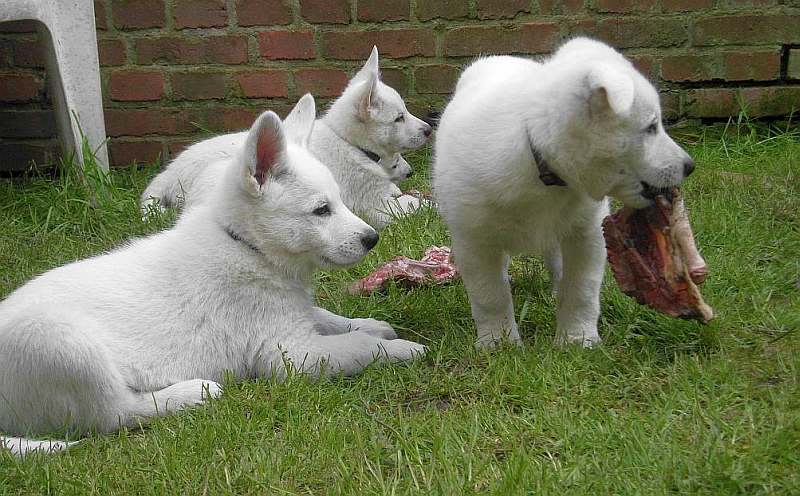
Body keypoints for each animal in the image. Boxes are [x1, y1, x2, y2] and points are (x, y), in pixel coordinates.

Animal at [0, 95, 428, 456]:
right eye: (321, 210)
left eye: (340, 201)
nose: (372, 239)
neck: (246, 245)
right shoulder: (288, 354)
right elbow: (359, 348)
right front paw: (403, 349)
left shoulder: (293, 314)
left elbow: (330, 318)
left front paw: (369, 324)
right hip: (64, 344)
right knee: (118, 413)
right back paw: (191, 393)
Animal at [143, 47, 432, 230]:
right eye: (399, 118)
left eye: (405, 112)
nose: (429, 129)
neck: (349, 144)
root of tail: (166, 175)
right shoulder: (377, 206)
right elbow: (418, 206)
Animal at [432, 37, 692, 348]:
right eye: (652, 127)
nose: (690, 166)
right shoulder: (473, 241)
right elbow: (489, 295)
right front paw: (499, 343)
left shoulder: (587, 233)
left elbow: (581, 289)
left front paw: (577, 339)